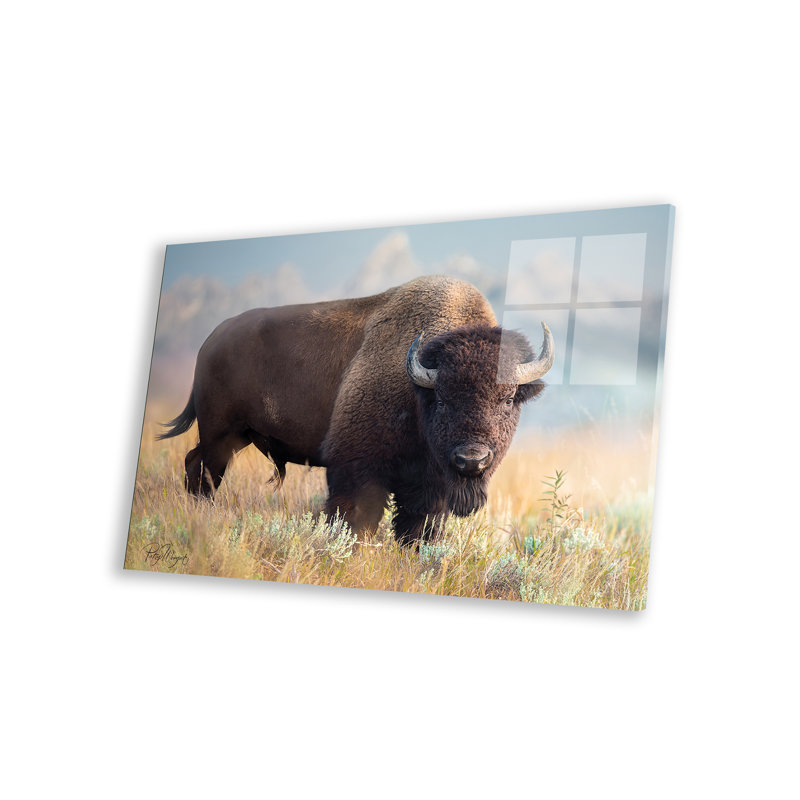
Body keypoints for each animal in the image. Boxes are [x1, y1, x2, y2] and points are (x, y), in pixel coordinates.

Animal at [159, 275, 553, 545]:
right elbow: (355, 520)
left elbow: (418, 532)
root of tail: (211, 341)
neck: (415, 392)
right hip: (220, 434)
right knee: (204, 472)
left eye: (508, 399)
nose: (472, 460)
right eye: (441, 399)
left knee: (194, 463)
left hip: (233, 436)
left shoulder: (431, 489)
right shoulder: (359, 470)